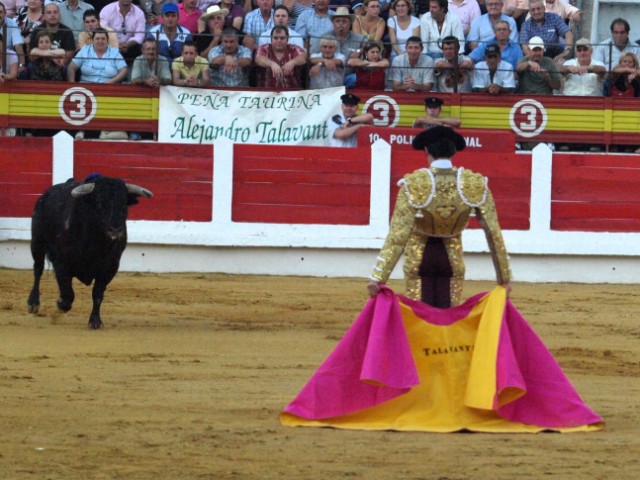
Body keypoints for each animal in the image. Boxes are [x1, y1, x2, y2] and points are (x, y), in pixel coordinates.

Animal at [28, 176, 153, 330]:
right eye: (99, 203)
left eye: (124, 204)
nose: (116, 230)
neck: (95, 242)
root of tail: (45, 195)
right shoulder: (61, 263)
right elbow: (68, 294)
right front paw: (60, 304)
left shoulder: (110, 267)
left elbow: (97, 293)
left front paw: (95, 321)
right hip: (37, 242)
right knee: (38, 269)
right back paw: (33, 303)